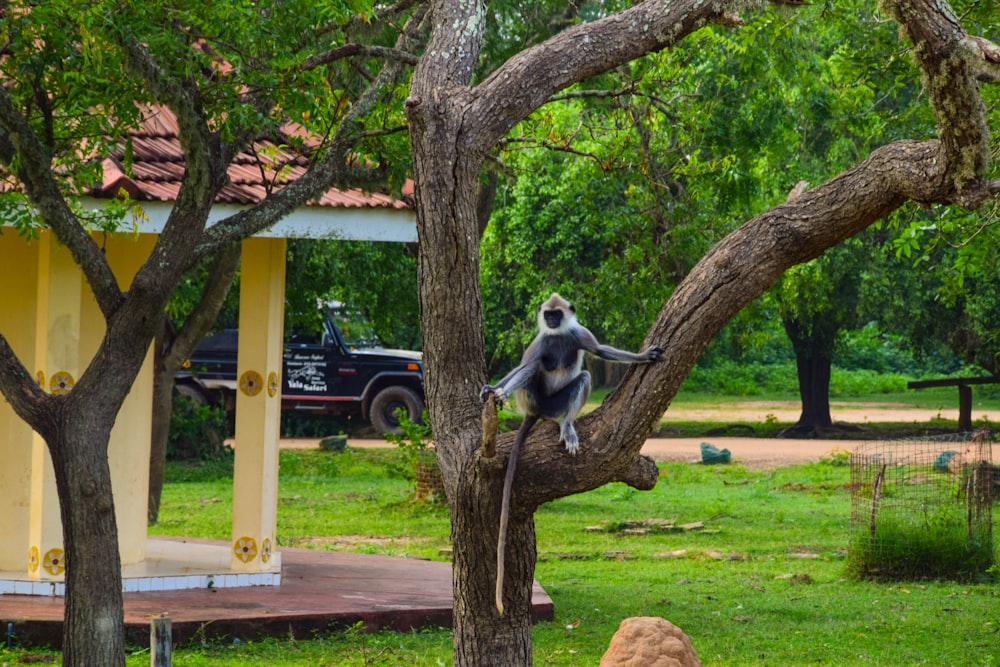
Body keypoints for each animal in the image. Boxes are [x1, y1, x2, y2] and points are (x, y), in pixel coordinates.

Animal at [482, 294, 664, 616]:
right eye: (548, 315)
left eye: (557, 314)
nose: (552, 321)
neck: (558, 336)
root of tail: (538, 412)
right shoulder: (543, 339)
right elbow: (526, 363)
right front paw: (494, 389)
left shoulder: (578, 334)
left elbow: (600, 351)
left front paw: (644, 356)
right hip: (533, 397)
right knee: (532, 367)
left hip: (556, 403)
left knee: (584, 376)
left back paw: (566, 425)